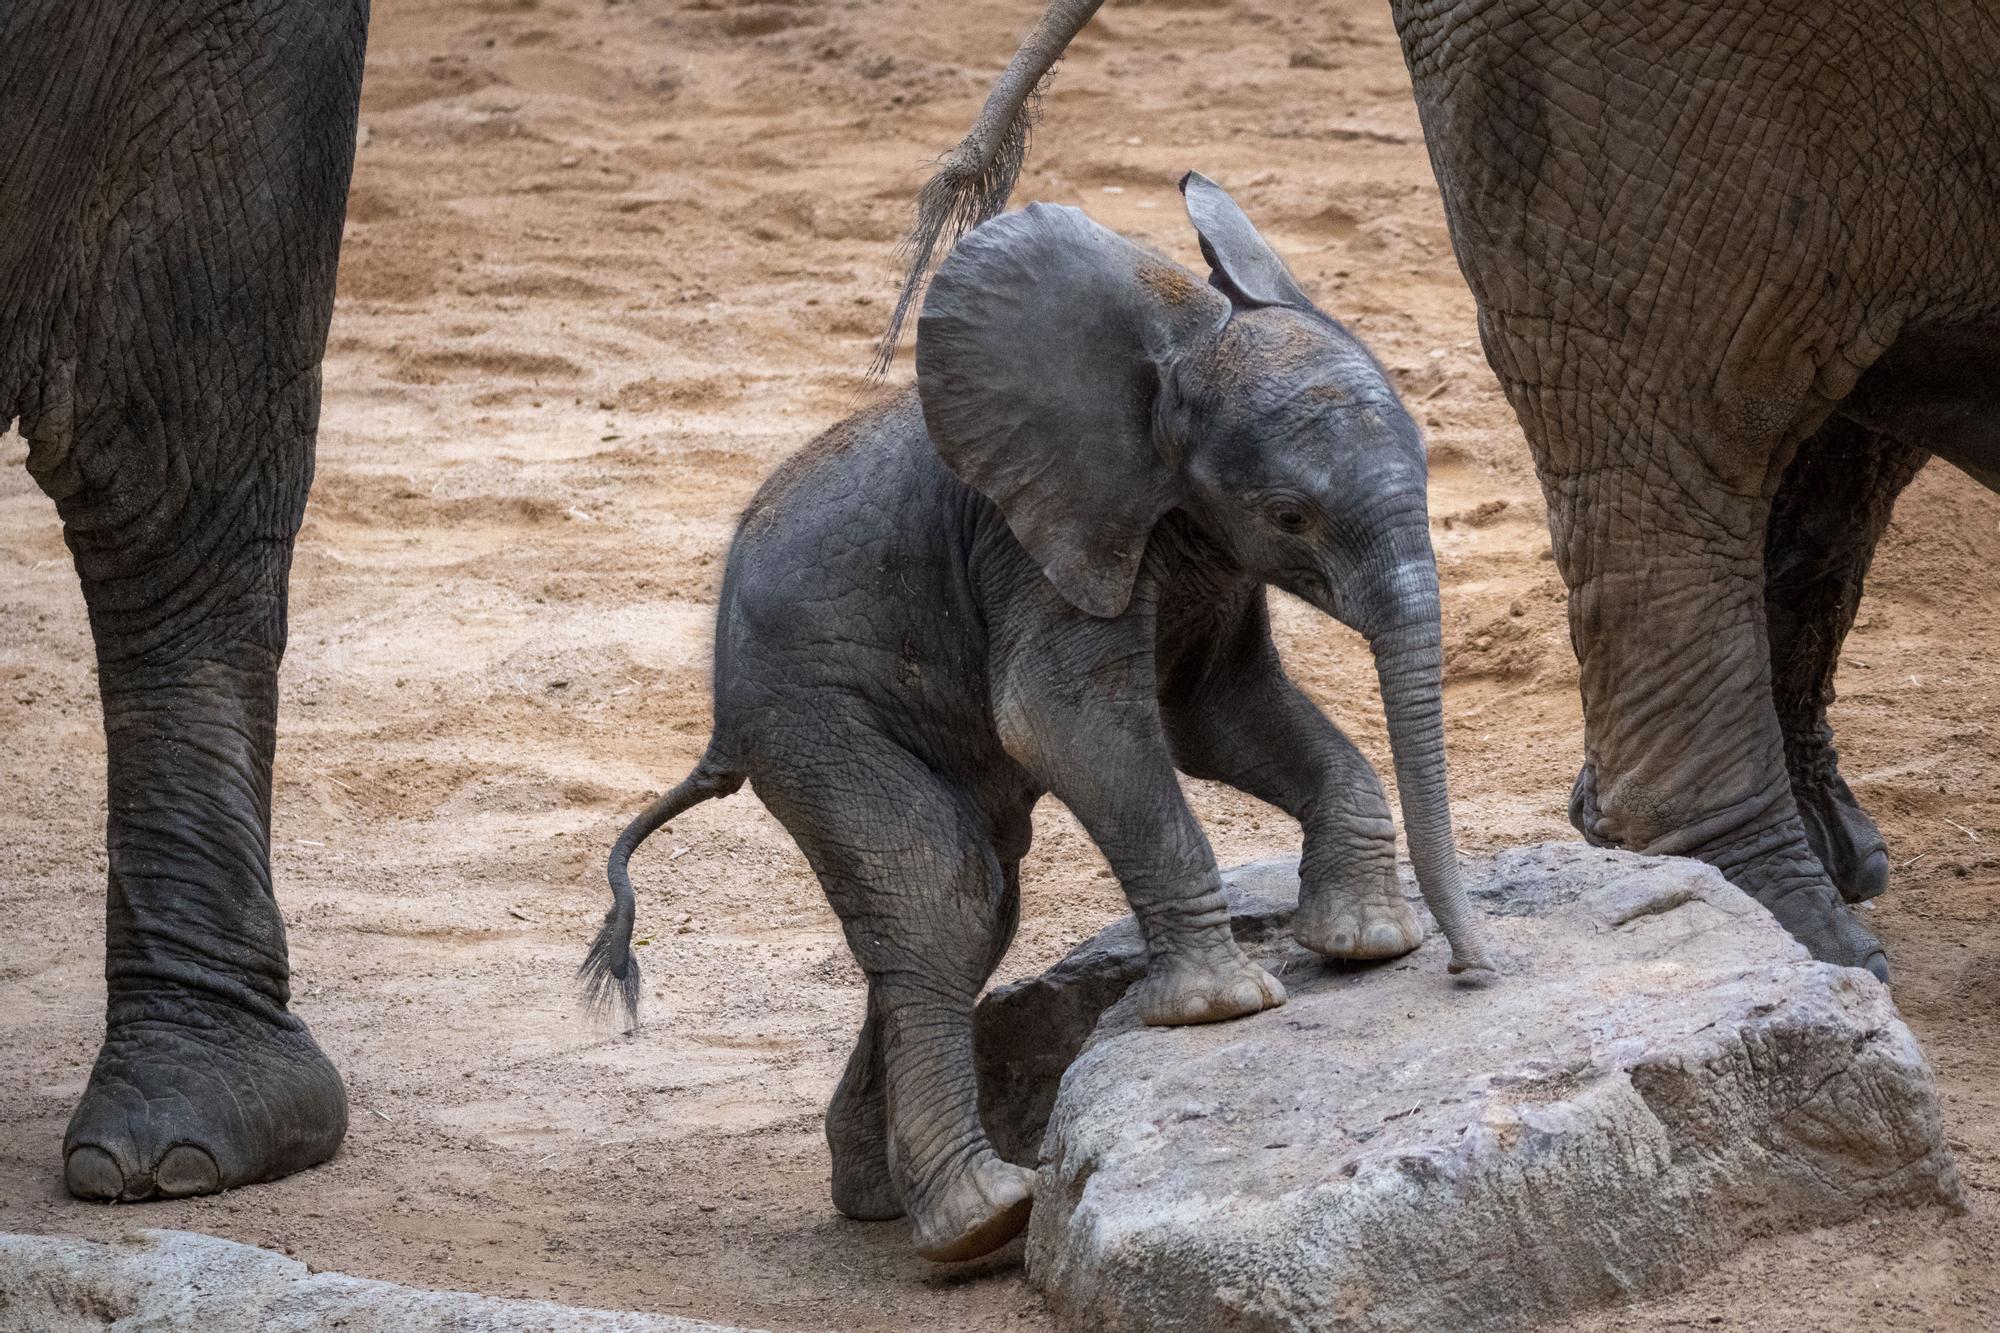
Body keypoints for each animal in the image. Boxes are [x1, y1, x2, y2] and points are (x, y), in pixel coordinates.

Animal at [584, 171, 1496, 1264]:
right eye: (1288, 515)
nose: (1473, 973)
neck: (1176, 346)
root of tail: (719, 721)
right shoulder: (1034, 540)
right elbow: (1062, 719)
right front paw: (1221, 1008)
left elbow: (1214, 712)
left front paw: (1364, 944)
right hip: (809, 714)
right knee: (946, 895)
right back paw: (982, 1220)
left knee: (963, 918)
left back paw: (879, 1202)